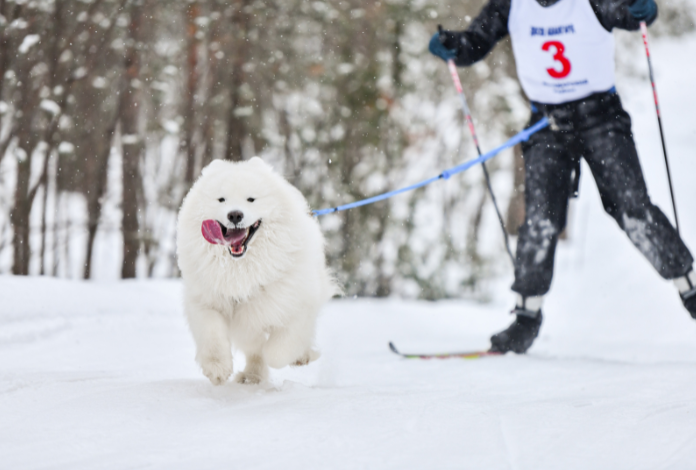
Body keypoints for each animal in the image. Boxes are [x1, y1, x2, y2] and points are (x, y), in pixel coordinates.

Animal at [174, 158, 338, 386]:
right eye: (221, 199)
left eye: (251, 199)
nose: (235, 214)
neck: (241, 267)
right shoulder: (206, 301)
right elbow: (212, 336)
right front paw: (217, 369)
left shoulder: (295, 303)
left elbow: (278, 351)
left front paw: (297, 356)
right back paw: (252, 376)